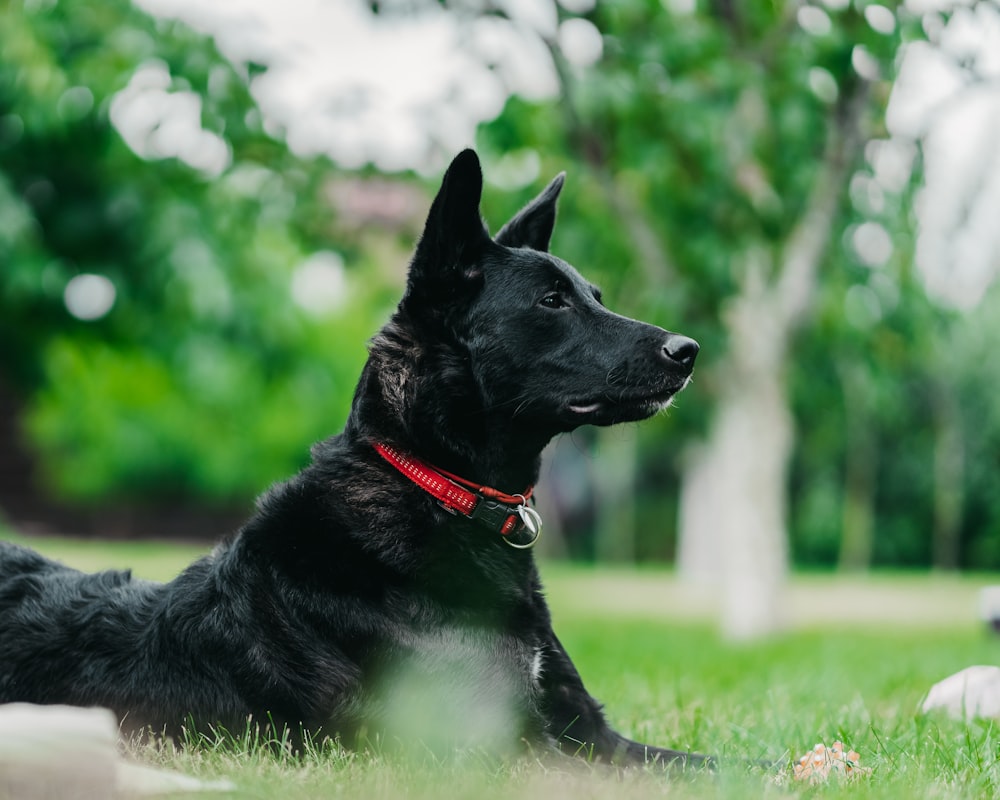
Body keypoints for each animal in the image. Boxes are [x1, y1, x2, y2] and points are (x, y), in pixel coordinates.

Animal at [0, 150, 704, 768]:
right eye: (551, 301)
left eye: (594, 295)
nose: (688, 350)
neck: (437, 490)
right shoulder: (498, 752)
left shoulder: (596, 735)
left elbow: (713, 765)